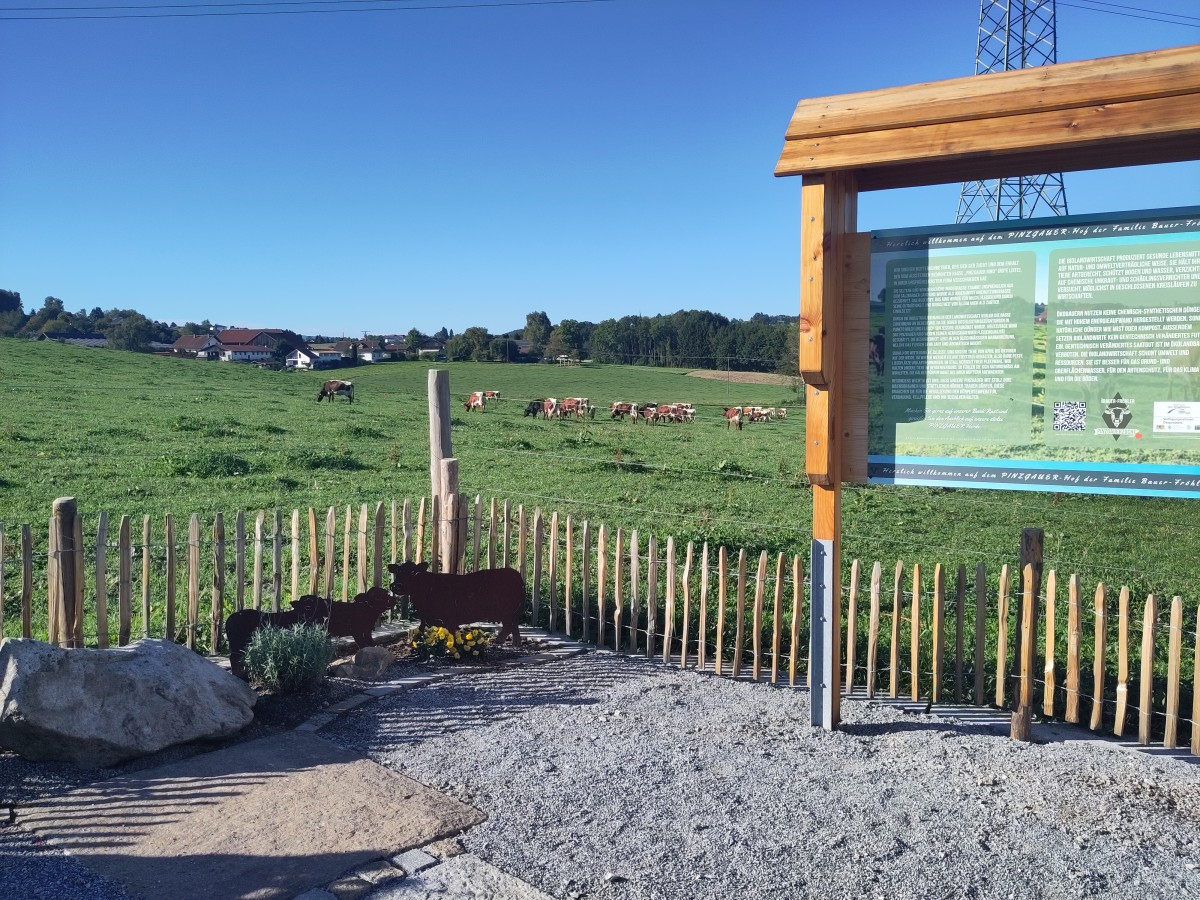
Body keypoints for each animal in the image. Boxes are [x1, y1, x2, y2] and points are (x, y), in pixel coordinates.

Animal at [386, 564, 523, 648]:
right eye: (398, 571)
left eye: (413, 572)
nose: (396, 586)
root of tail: (515, 573)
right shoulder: (426, 618)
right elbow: (421, 630)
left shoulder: (449, 619)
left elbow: (451, 635)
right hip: (511, 611)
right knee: (513, 626)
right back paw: (514, 642)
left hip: (507, 611)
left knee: (509, 626)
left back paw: (503, 641)